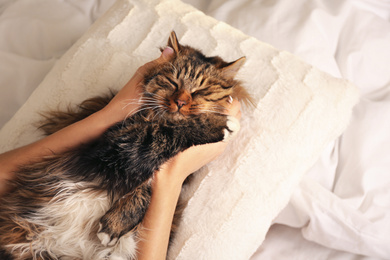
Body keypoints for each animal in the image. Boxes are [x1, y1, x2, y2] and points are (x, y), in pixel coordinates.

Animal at [0, 31, 250, 258]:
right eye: (173, 82)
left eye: (200, 91)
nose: (180, 102)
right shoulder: (118, 144)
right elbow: (165, 134)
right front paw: (221, 124)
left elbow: (146, 188)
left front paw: (113, 225)